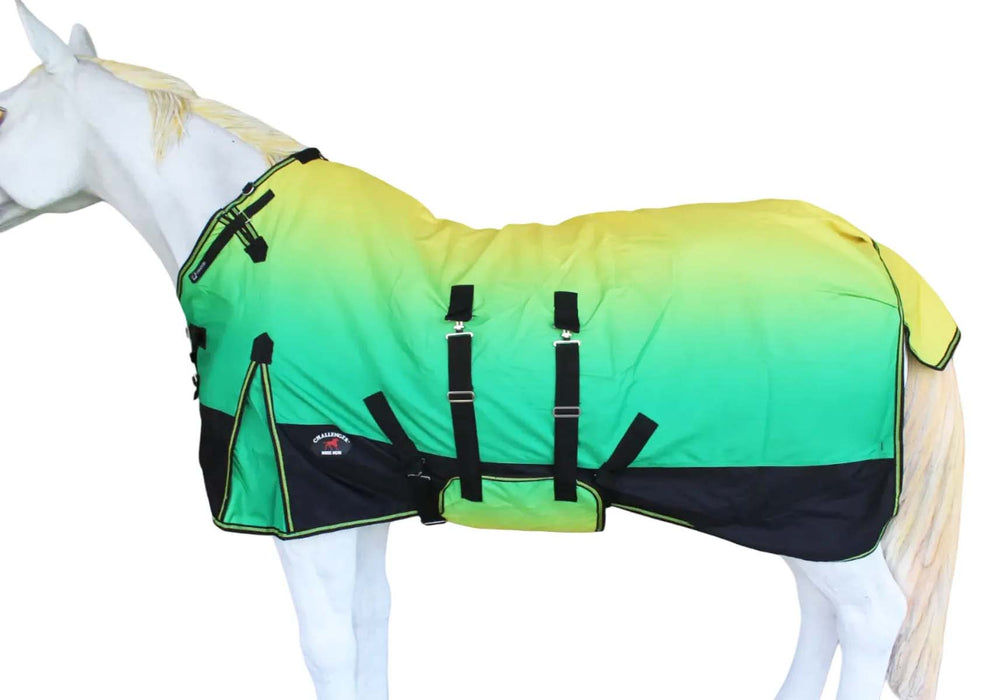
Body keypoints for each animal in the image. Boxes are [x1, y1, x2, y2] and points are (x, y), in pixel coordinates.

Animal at [0, 4, 965, 699]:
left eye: (6, 108)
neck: (256, 243)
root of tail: (872, 251)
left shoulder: (295, 504)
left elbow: (325, 646)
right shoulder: (352, 497)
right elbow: (371, 626)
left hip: (808, 498)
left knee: (871, 620)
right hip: (796, 508)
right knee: (823, 615)